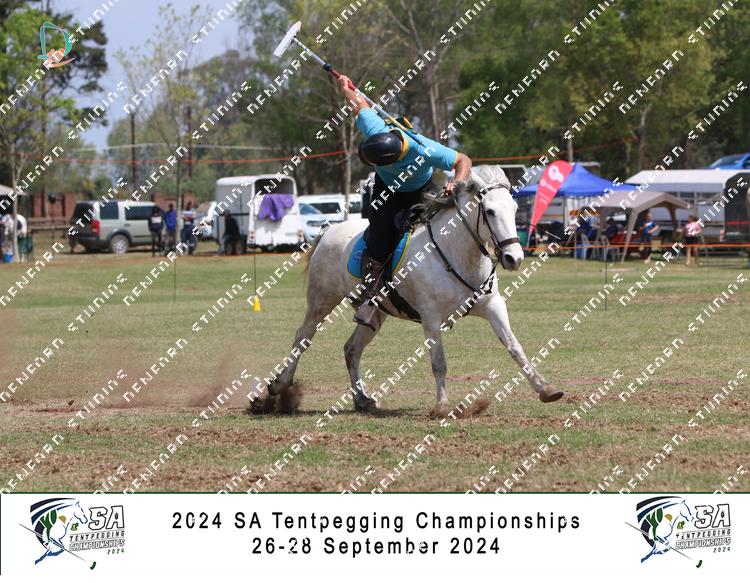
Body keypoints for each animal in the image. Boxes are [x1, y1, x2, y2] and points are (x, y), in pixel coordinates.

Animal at [249, 165, 563, 415]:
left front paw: (546, 388)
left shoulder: (493, 307)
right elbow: (439, 362)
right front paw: (442, 406)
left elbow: (515, 348)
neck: (457, 252)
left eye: (514, 210)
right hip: (321, 301)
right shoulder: (431, 318)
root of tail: (328, 231)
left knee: (351, 350)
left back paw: (362, 399)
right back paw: (280, 386)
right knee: (302, 337)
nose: (514, 258)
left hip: (374, 314)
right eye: (490, 211)